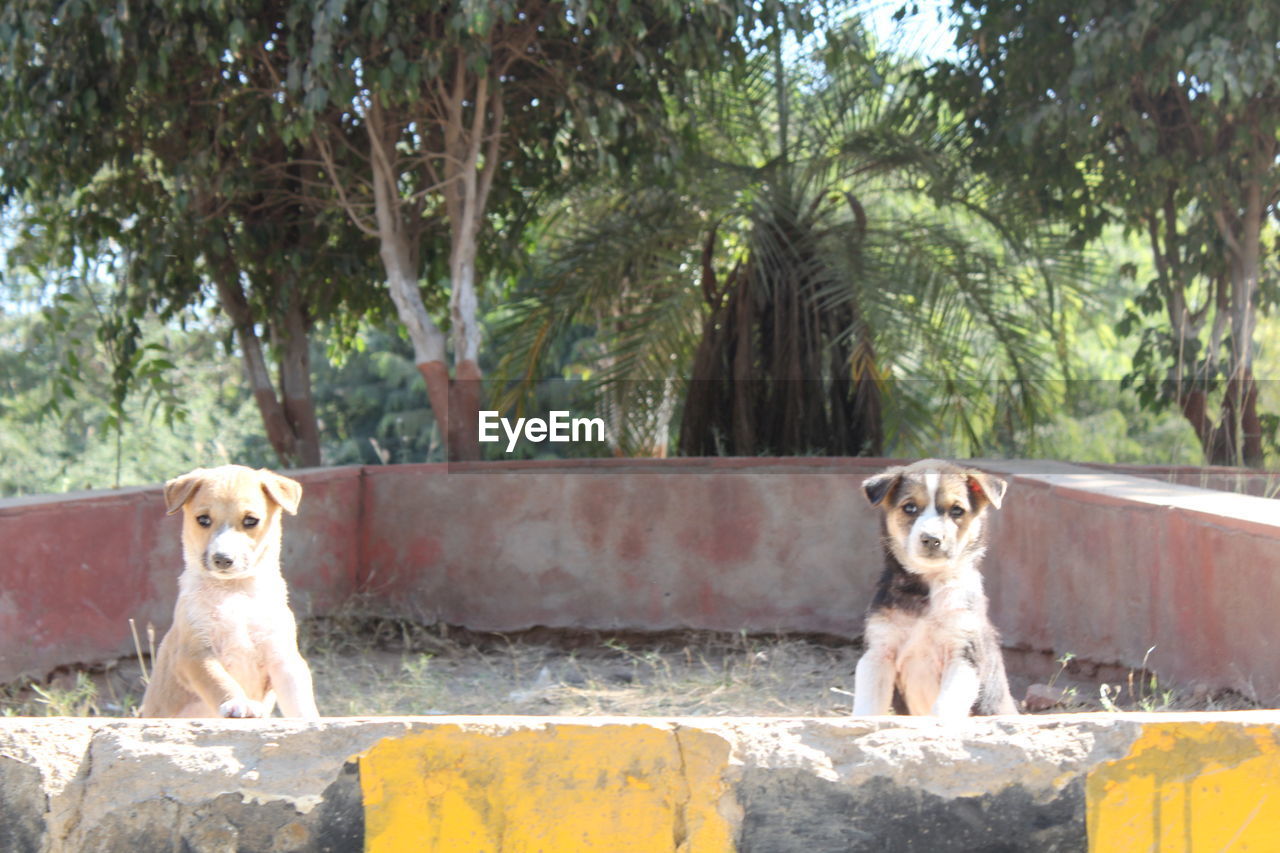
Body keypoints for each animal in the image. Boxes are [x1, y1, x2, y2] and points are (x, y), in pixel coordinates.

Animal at [139, 461, 317, 712]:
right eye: (203, 519)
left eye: (251, 520)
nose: (222, 559)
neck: (235, 591)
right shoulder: (195, 652)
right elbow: (219, 681)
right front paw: (237, 703)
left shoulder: (283, 657)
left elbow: (300, 702)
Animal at [849, 455, 1018, 712]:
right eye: (909, 507)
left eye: (957, 510)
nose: (931, 539)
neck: (928, 587)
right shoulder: (878, 653)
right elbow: (867, 709)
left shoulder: (963, 655)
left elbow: (942, 709)